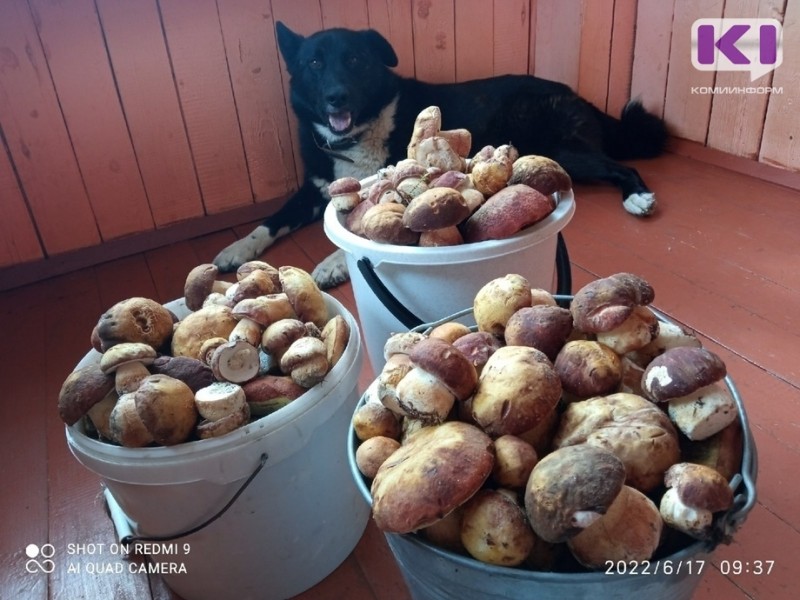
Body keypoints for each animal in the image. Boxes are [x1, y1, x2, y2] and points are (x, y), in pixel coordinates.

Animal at [214, 22, 668, 288]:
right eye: (313, 63)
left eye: (355, 60)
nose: (335, 96)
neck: (361, 132)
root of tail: (578, 95)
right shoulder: (311, 189)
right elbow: (268, 223)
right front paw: (236, 249)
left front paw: (332, 261)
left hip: (559, 151)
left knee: (621, 166)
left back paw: (638, 197)